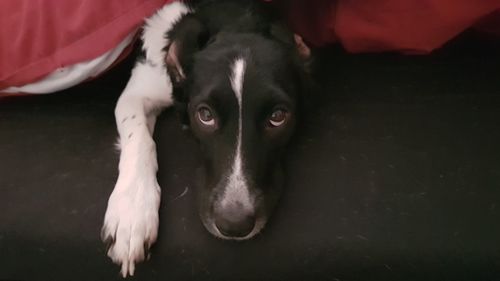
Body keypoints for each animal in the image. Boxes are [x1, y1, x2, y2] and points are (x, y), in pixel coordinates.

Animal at [99, 0, 310, 276]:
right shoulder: (138, 91)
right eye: (205, 115)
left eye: (278, 116)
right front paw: (132, 212)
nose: (234, 224)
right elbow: (141, 138)